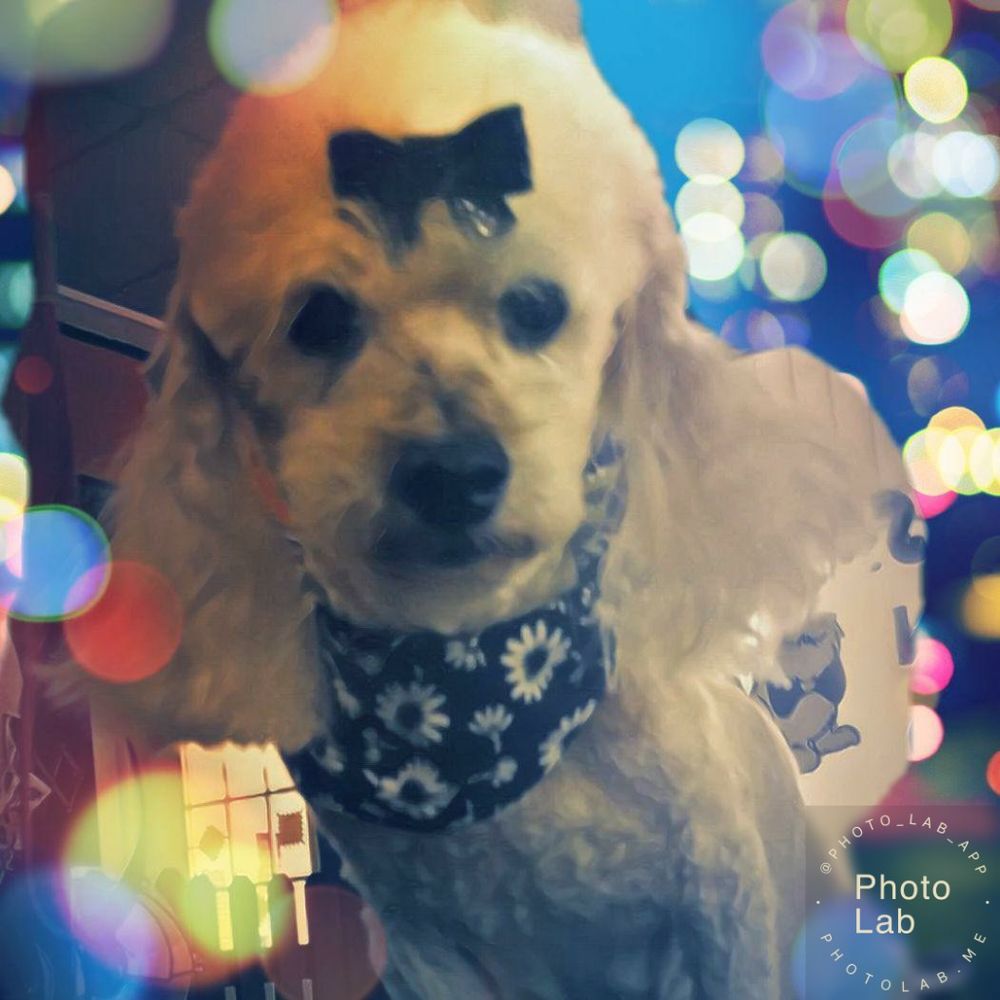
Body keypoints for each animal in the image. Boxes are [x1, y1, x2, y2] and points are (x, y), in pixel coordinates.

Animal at [85, 1, 915, 995]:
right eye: (318, 318)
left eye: (535, 307)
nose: (452, 473)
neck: (475, 681)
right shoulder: (429, 950)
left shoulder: (724, 911)